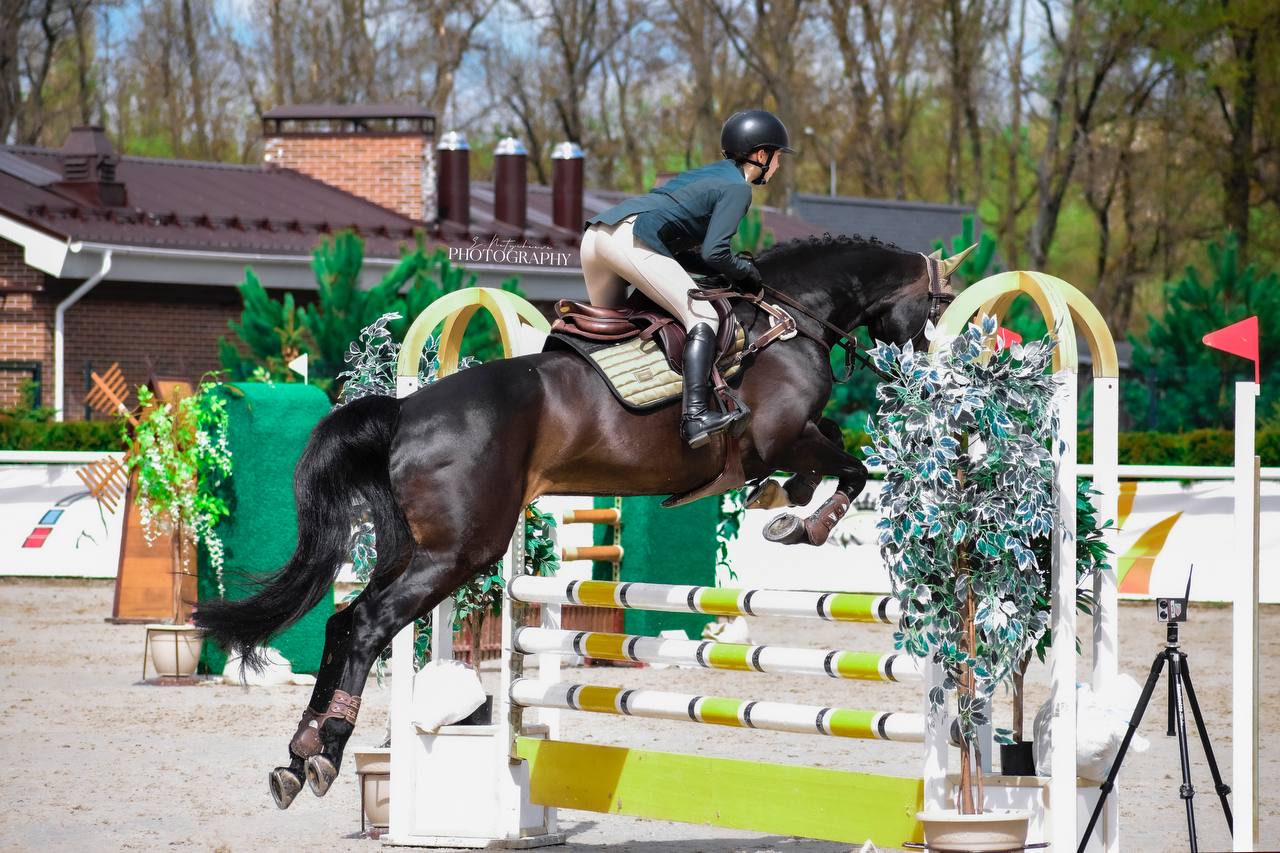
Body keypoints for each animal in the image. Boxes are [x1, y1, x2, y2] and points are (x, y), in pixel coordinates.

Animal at [186, 230, 967, 804]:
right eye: (940, 306)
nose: (931, 380)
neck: (790, 317)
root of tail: (406, 411)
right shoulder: (780, 434)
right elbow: (848, 467)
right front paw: (799, 519)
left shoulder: (791, 437)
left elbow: (831, 456)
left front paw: (781, 504)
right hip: (461, 551)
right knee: (369, 624)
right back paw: (325, 753)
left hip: (416, 548)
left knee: (344, 621)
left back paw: (298, 757)